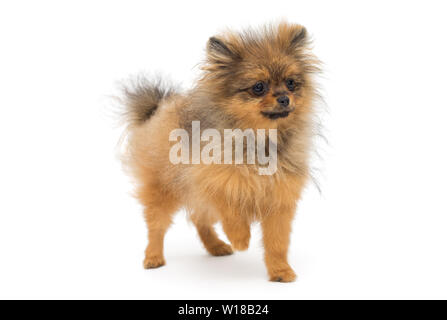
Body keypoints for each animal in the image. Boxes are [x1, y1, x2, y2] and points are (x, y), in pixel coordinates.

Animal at [121, 21, 320, 282]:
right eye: (258, 87)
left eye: (291, 83)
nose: (285, 98)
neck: (258, 140)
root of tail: (157, 109)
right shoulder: (213, 182)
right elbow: (231, 211)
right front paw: (240, 238)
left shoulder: (279, 201)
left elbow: (277, 243)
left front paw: (280, 271)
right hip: (163, 190)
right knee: (157, 226)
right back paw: (153, 257)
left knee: (199, 220)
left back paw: (215, 245)